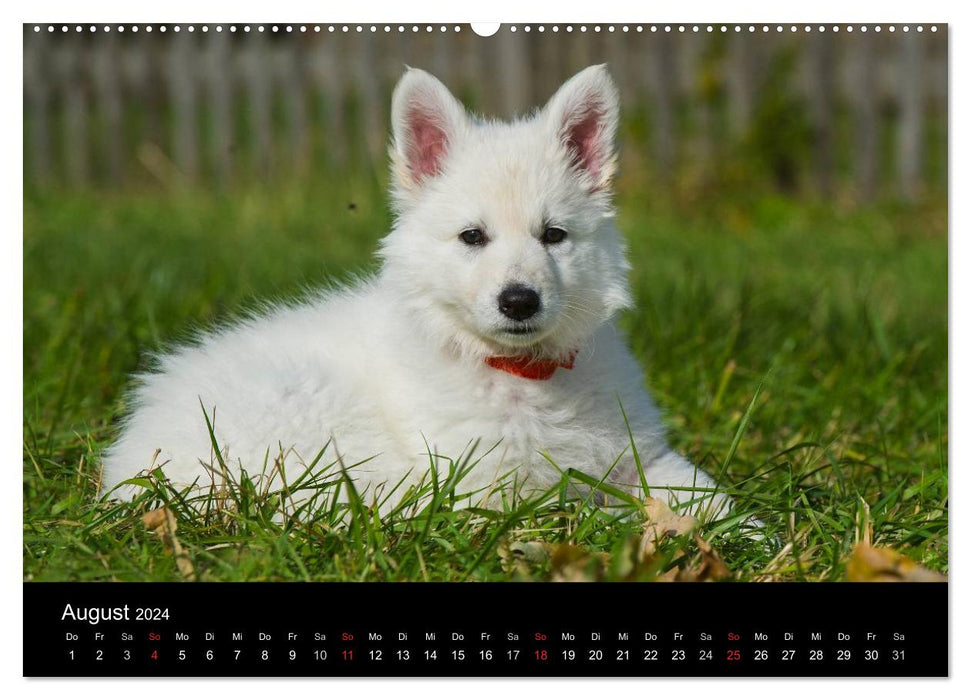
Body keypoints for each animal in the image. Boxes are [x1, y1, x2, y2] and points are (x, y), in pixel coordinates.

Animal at [102, 65, 732, 520]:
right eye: (472, 237)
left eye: (553, 235)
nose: (519, 302)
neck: (521, 374)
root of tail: (126, 469)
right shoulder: (487, 487)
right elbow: (571, 511)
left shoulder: (642, 455)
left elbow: (709, 497)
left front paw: (744, 533)